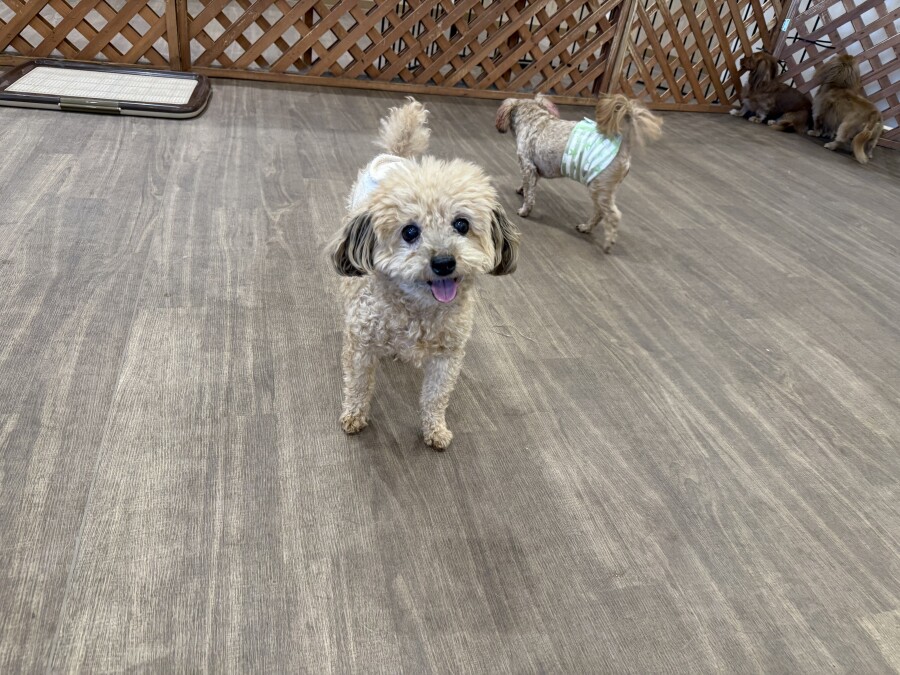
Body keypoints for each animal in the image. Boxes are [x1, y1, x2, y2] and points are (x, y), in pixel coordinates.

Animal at [328, 99, 520, 451]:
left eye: (461, 224)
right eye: (410, 231)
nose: (444, 262)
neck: (418, 310)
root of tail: (396, 156)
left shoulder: (448, 356)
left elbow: (436, 397)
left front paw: (435, 430)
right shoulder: (362, 347)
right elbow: (358, 386)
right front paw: (354, 416)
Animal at [496, 93, 661, 253]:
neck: (532, 118)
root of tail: (624, 146)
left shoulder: (528, 166)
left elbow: (530, 196)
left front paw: (524, 211)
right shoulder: (533, 171)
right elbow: (527, 185)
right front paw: (521, 189)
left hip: (598, 187)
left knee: (611, 215)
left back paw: (606, 242)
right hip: (605, 189)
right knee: (601, 213)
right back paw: (586, 228)